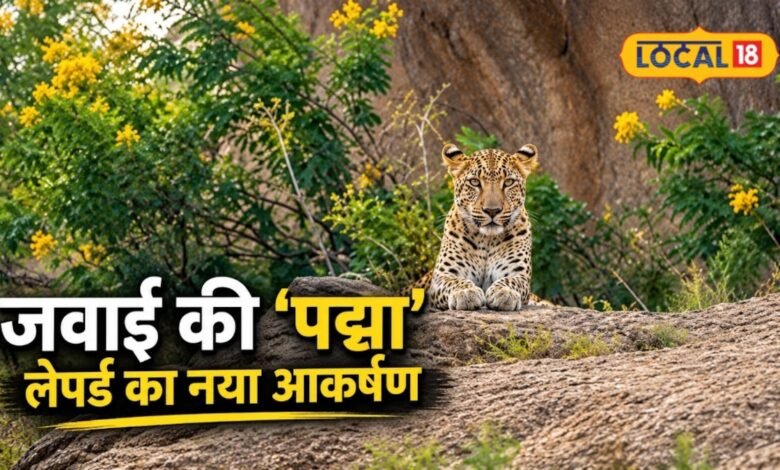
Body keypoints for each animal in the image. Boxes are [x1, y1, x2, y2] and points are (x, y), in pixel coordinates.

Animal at [422, 142, 539, 311]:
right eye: (475, 182)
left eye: (508, 182)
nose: (492, 210)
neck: (487, 239)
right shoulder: (443, 275)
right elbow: (454, 282)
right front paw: (466, 293)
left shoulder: (518, 273)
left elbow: (511, 281)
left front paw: (504, 292)